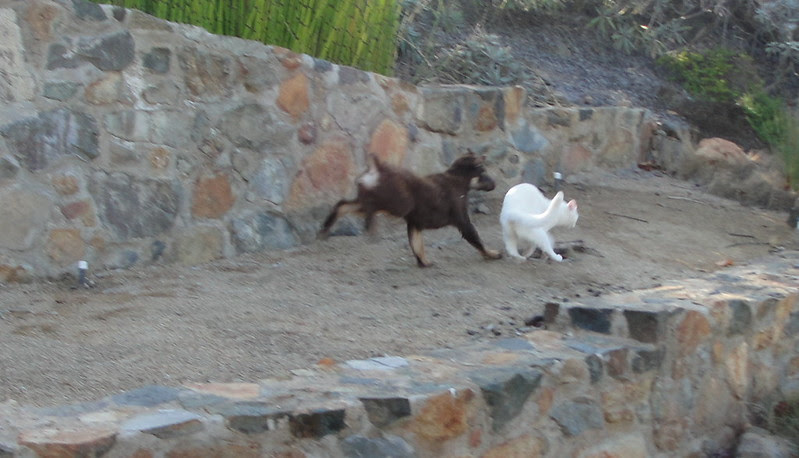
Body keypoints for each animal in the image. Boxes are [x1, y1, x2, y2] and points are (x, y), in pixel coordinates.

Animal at [318, 152, 502, 267]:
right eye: (483, 170)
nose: (494, 184)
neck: (458, 179)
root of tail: (376, 169)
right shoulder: (462, 220)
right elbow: (477, 240)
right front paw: (492, 254)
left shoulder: (414, 223)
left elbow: (417, 245)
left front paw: (424, 263)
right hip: (396, 203)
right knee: (369, 208)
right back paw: (371, 227)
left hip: (366, 200)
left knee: (342, 205)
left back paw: (325, 229)